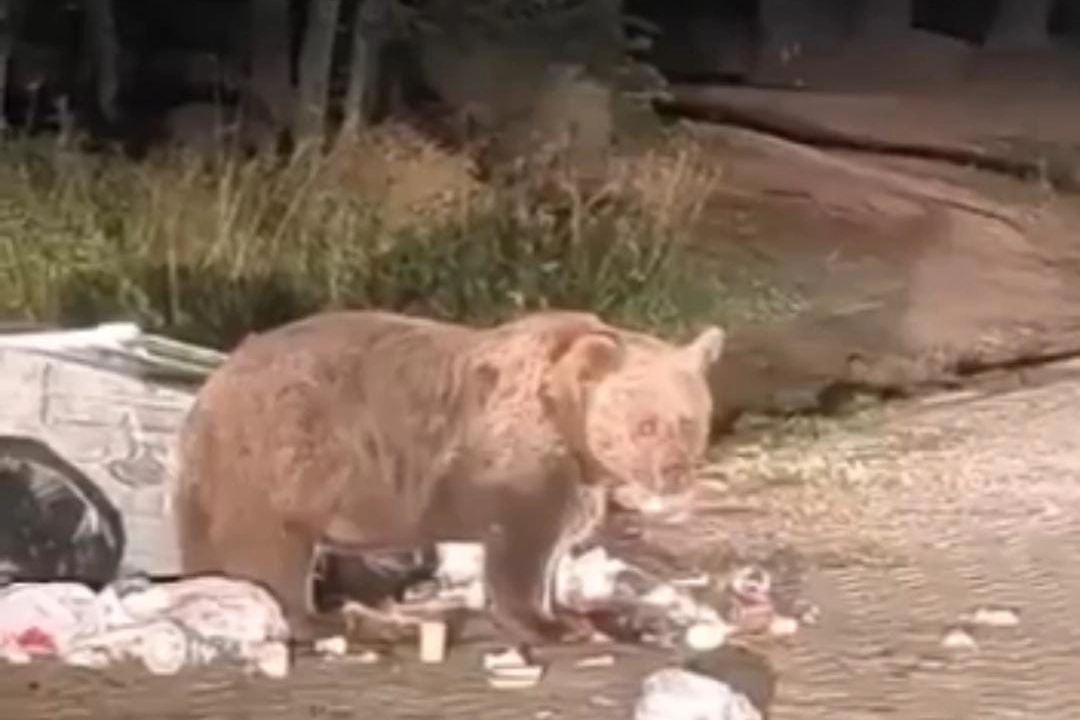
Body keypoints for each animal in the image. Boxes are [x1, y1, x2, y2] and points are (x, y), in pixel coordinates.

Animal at [173, 309, 724, 645]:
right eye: (646, 424)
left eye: (688, 421)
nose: (674, 472)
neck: (574, 433)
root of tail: (211, 388)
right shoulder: (517, 465)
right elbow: (522, 550)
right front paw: (549, 624)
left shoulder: (575, 482)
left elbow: (555, 544)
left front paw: (567, 611)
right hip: (285, 456)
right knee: (272, 551)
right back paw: (328, 619)